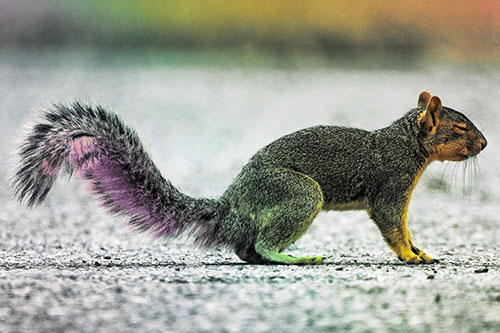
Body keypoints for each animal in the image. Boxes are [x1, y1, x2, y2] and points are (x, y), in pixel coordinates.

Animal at [13, 91, 486, 264]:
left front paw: (420, 250)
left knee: (246, 250)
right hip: (300, 193)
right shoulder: (391, 184)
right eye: (460, 127)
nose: (483, 144)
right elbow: (392, 225)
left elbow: (403, 226)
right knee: (261, 243)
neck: (408, 144)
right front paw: (410, 256)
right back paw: (294, 258)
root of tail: (231, 206)